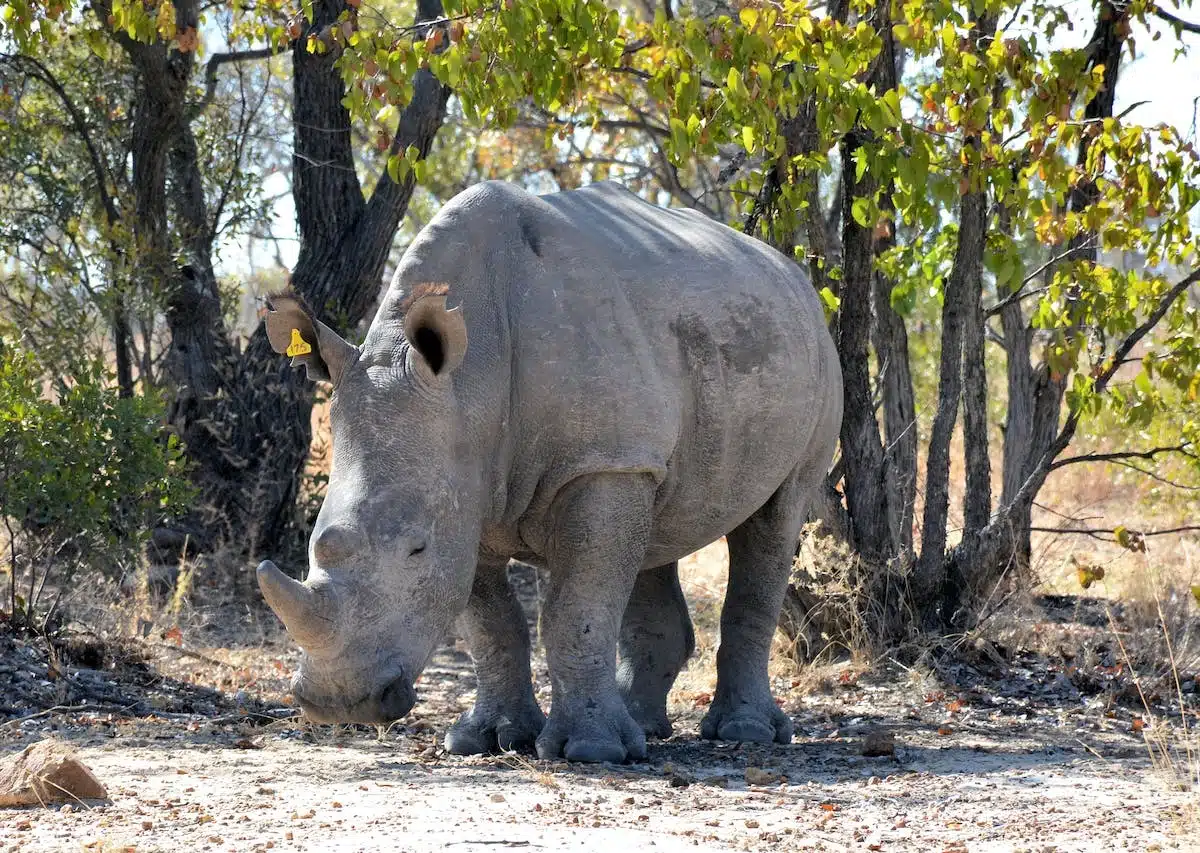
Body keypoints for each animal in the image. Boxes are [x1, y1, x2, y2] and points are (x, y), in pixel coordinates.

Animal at [258, 178, 840, 763]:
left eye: (416, 549)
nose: (338, 702)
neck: (471, 383)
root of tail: (796, 277)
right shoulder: (470, 487)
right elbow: (491, 623)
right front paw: (485, 739)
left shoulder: (595, 463)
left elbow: (573, 610)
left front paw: (591, 751)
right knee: (657, 523)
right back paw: (644, 728)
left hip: (808, 352)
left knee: (777, 514)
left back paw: (743, 732)